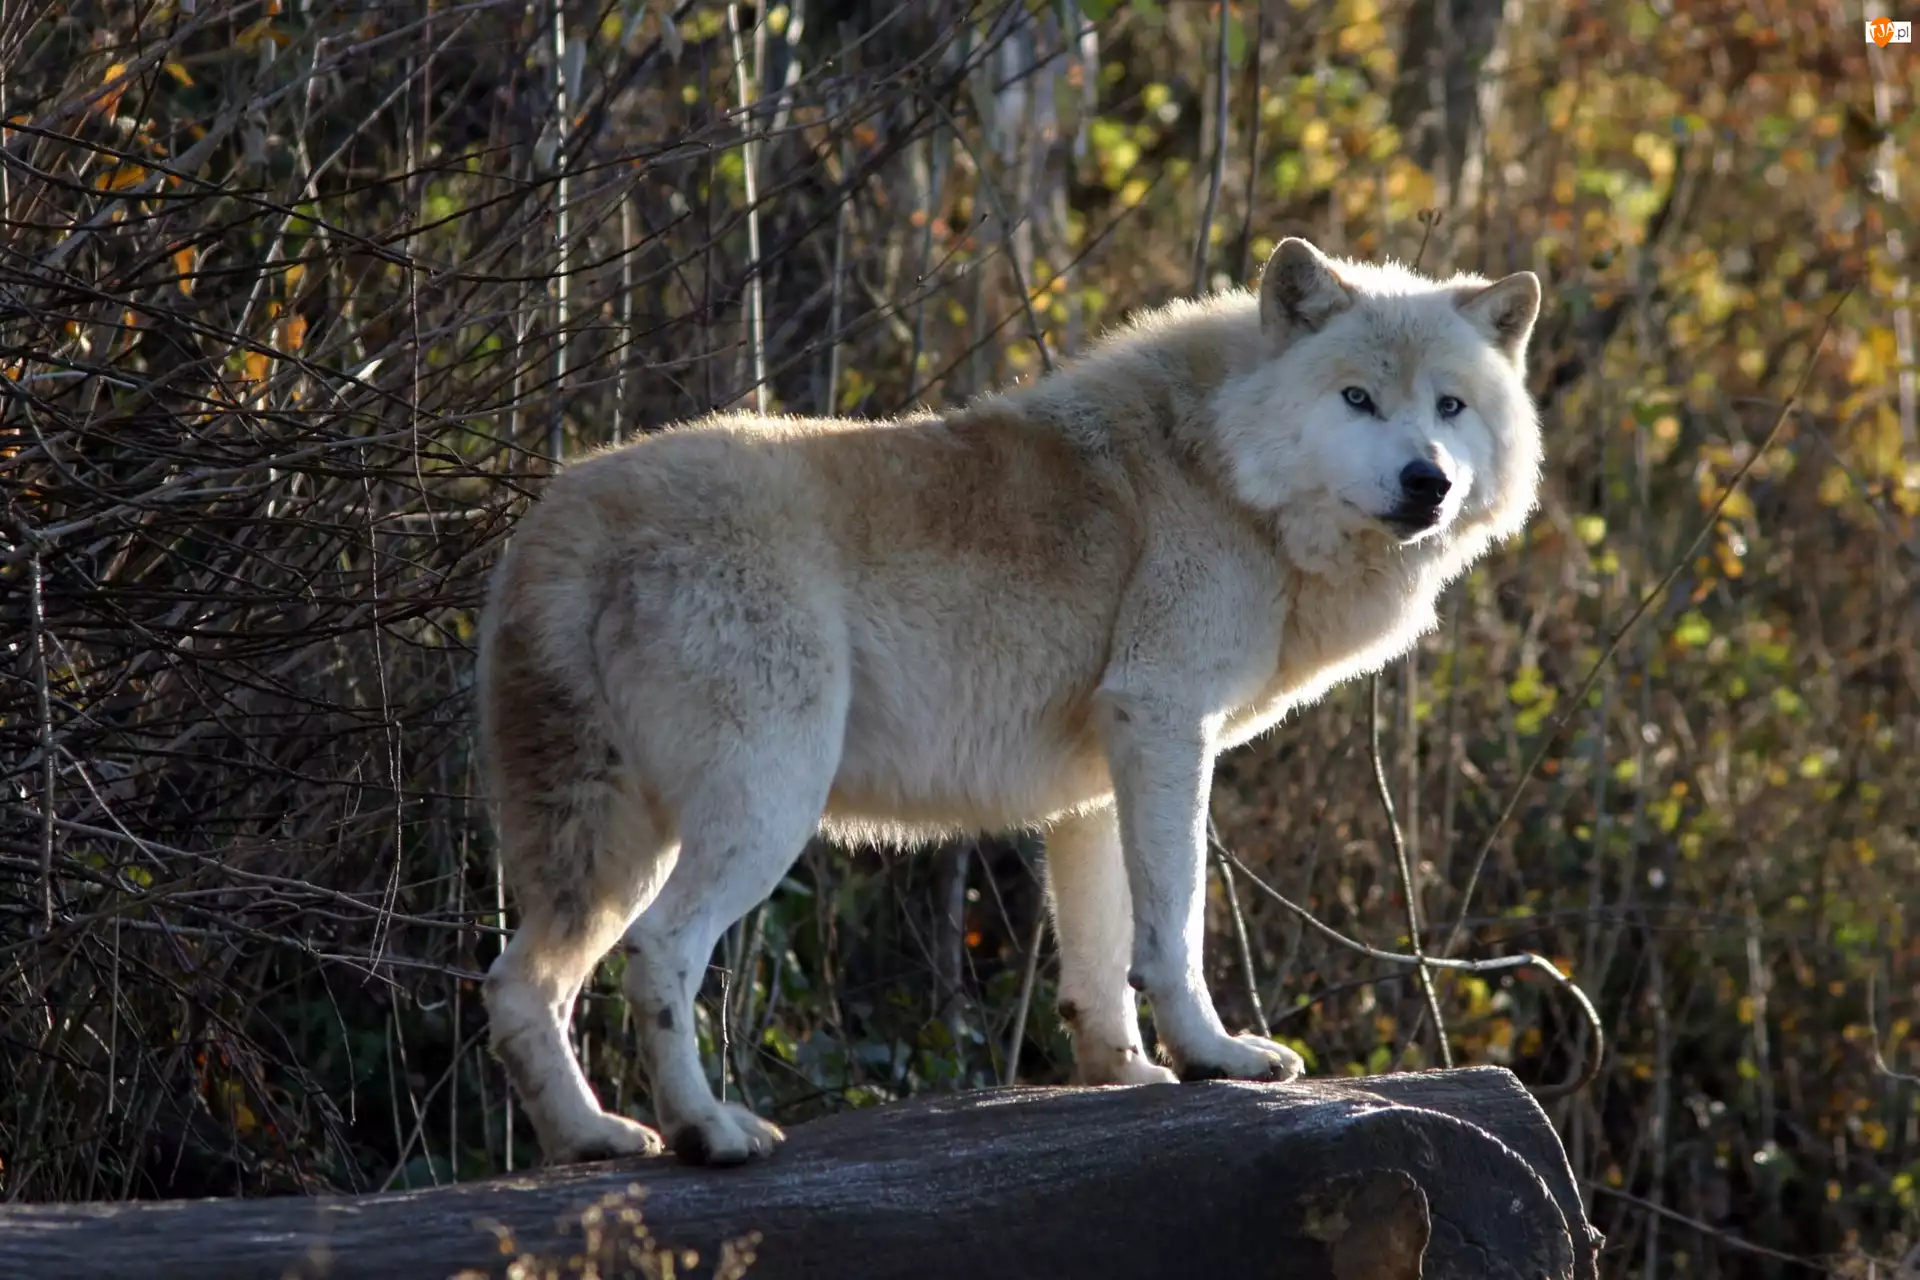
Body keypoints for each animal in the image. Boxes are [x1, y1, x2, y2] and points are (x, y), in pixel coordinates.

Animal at [475, 237, 1544, 1167]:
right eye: (1357, 398)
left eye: (1450, 406)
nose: (1427, 481)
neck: (1219, 468)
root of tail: (565, 514)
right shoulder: (1165, 723)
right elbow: (1175, 926)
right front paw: (1217, 1057)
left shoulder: (1101, 782)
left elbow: (1103, 955)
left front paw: (1128, 1073)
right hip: (760, 813)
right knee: (659, 955)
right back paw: (708, 1133)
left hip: (609, 850)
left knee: (518, 988)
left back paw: (591, 1138)